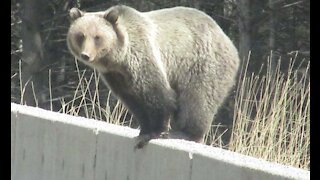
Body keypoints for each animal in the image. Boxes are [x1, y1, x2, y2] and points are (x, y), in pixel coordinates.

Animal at [66, 4, 239, 148]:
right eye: (80, 35)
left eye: (97, 37)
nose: (86, 55)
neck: (118, 59)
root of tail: (229, 42)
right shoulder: (117, 77)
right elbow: (134, 101)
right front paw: (144, 129)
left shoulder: (143, 57)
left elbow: (158, 95)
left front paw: (154, 132)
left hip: (203, 63)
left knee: (197, 98)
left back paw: (185, 133)